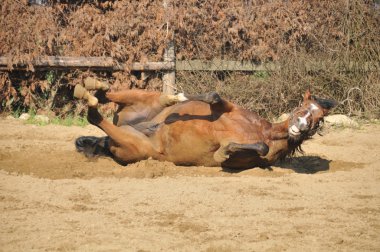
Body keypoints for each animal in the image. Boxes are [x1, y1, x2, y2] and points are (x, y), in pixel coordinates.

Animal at [74, 79, 338, 169]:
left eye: (317, 120)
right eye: (303, 108)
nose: (300, 126)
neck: (264, 130)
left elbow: (259, 148)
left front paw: (222, 152)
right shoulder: (226, 108)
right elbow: (213, 96)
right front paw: (179, 98)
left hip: (133, 145)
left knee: (95, 116)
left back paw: (88, 94)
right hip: (140, 100)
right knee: (106, 96)